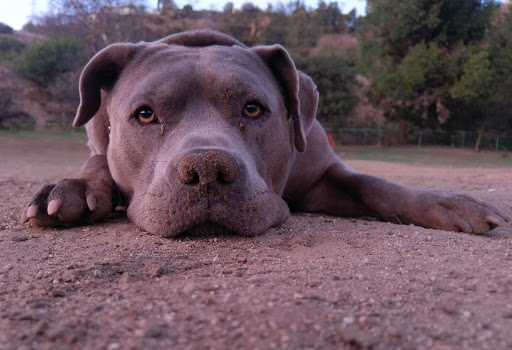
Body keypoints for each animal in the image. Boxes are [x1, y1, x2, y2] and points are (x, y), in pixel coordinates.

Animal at [20, 30, 508, 238]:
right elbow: (98, 161)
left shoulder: (322, 174)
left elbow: (372, 183)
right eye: (145, 115)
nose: (207, 169)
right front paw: (74, 188)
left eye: (253, 109)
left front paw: (445, 203)